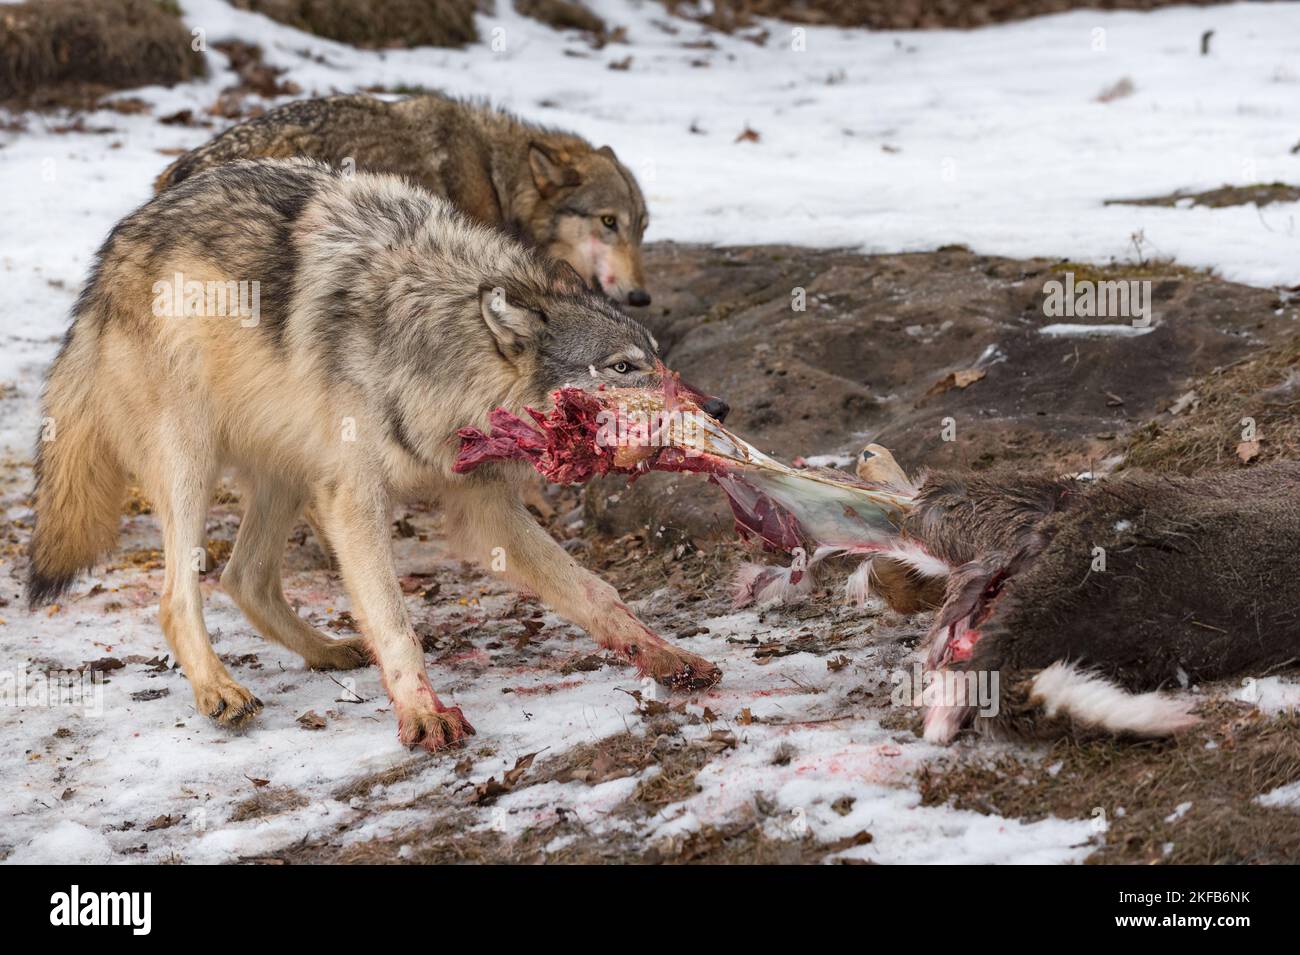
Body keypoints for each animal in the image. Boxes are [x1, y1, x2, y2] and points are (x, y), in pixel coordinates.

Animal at [28, 158, 724, 751]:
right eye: (624, 367)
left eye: (657, 357)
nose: (718, 408)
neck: (436, 346)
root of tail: (109, 255)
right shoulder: (355, 500)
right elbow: (394, 620)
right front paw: (422, 713)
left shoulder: (484, 509)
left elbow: (595, 591)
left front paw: (668, 658)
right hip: (193, 464)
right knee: (178, 596)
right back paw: (220, 691)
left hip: (290, 475)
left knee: (243, 576)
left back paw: (327, 652)